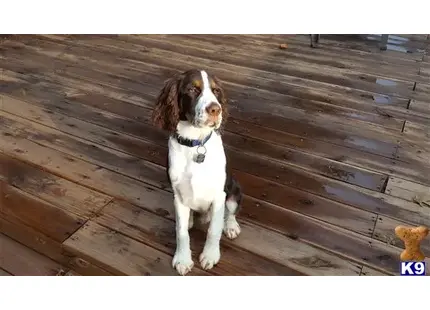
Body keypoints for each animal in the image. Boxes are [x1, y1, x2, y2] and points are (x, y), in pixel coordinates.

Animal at [152, 69, 242, 274]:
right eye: (193, 89)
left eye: (216, 91)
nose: (216, 110)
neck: (195, 144)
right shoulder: (178, 195)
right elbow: (181, 231)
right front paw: (183, 259)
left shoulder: (219, 195)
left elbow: (214, 229)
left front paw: (210, 256)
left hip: (234, 189)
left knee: (230, 212)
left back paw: (231, 226)